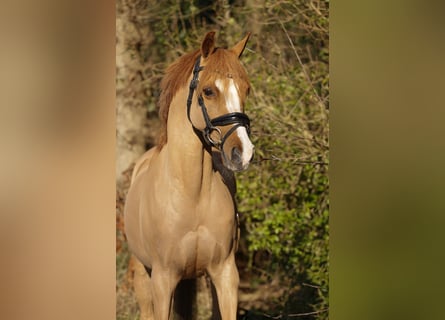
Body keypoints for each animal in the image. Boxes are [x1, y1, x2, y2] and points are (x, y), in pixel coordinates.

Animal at [124, 30, 253, 320]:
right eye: (209, 91)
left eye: (246, 89)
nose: (243, 153)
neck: (191, 194)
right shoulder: (163, 280)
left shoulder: (225, 274)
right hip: (143, 277)